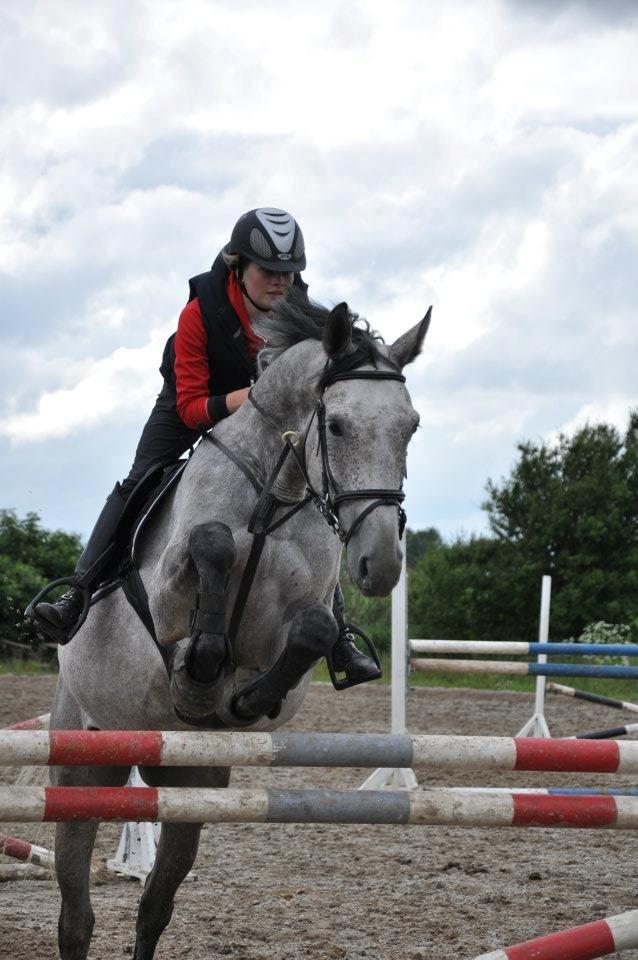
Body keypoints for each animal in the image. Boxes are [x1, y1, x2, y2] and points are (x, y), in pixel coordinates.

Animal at [51, 292, 430, 960]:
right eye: (336, 426)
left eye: (410, 426)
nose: (381, 564)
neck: (276, 488)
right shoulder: (167, 595)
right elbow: (213, 546)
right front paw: (198, 672)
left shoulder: (293, 624)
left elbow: (312, 632)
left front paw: (240, 697)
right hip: (81, 764)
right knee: (76, 912)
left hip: (191, 783)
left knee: (155, 906)